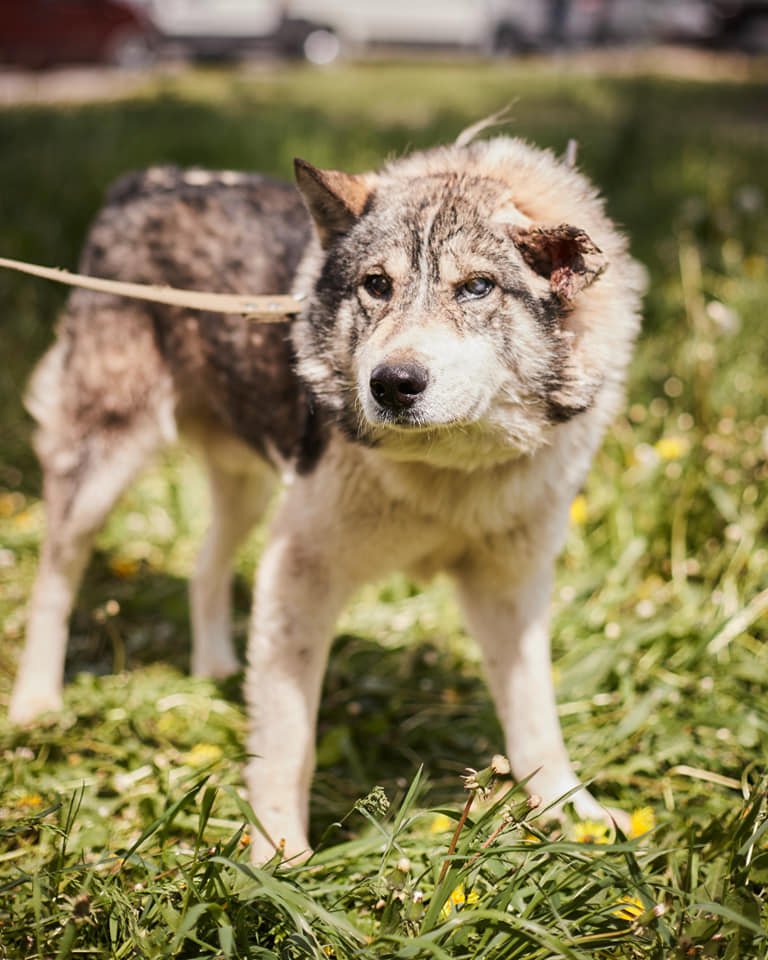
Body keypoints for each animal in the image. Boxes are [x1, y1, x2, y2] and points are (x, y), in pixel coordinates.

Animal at [7, 131, 640, 860]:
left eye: (477, 286)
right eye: (377, 285)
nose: (391, 383)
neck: (447, 466)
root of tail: (146, 180)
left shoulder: (509, 585)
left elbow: (537, 716)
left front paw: (575, 818)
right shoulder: (301, 572)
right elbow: (288, 741)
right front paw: (280, 860)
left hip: (251, 485)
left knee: (203, 564)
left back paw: (217, 669)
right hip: (104, 463)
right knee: (54, 577)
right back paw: (35, 706)